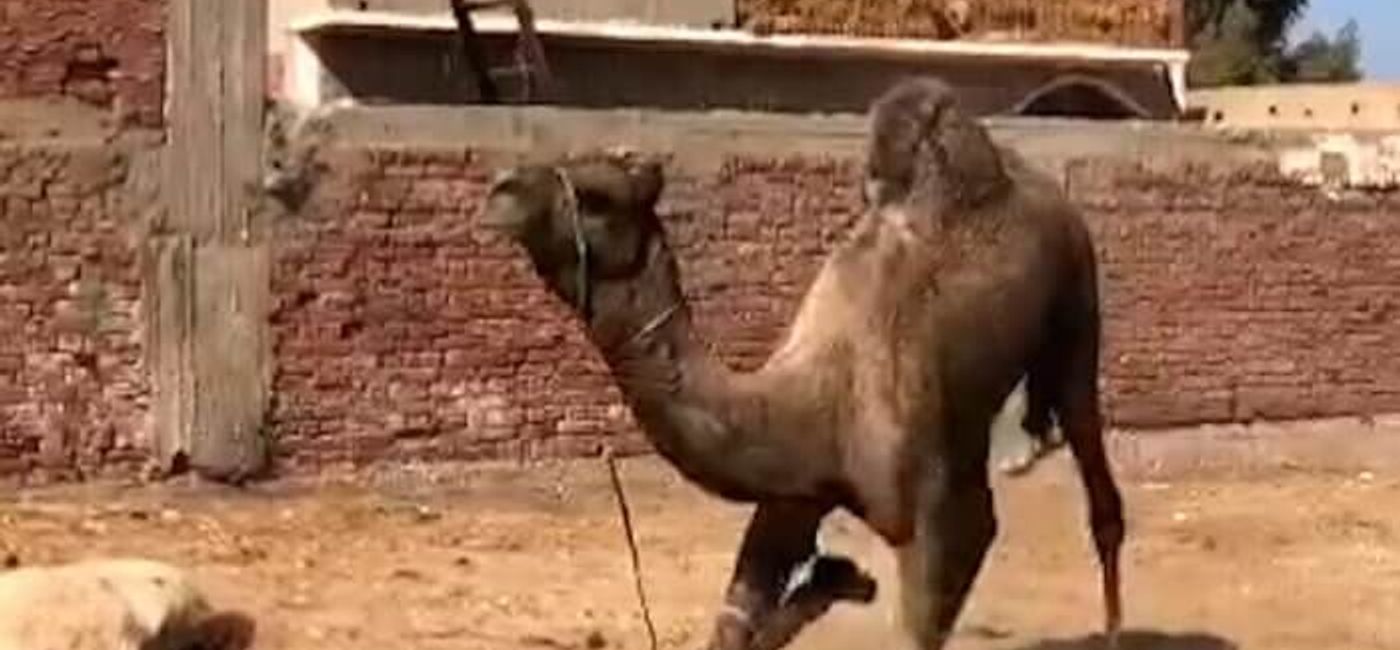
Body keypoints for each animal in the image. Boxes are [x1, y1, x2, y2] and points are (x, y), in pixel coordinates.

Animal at [479, 77, 1124, 650]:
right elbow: (738, 612)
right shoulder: (795, 494)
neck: (810, 406)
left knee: (1094, 464)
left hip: (1078, 295)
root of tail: (1036, 180)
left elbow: (930, 601)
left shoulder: (937, 516)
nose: (500, 189)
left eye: (598, 198)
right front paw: (837, 581)